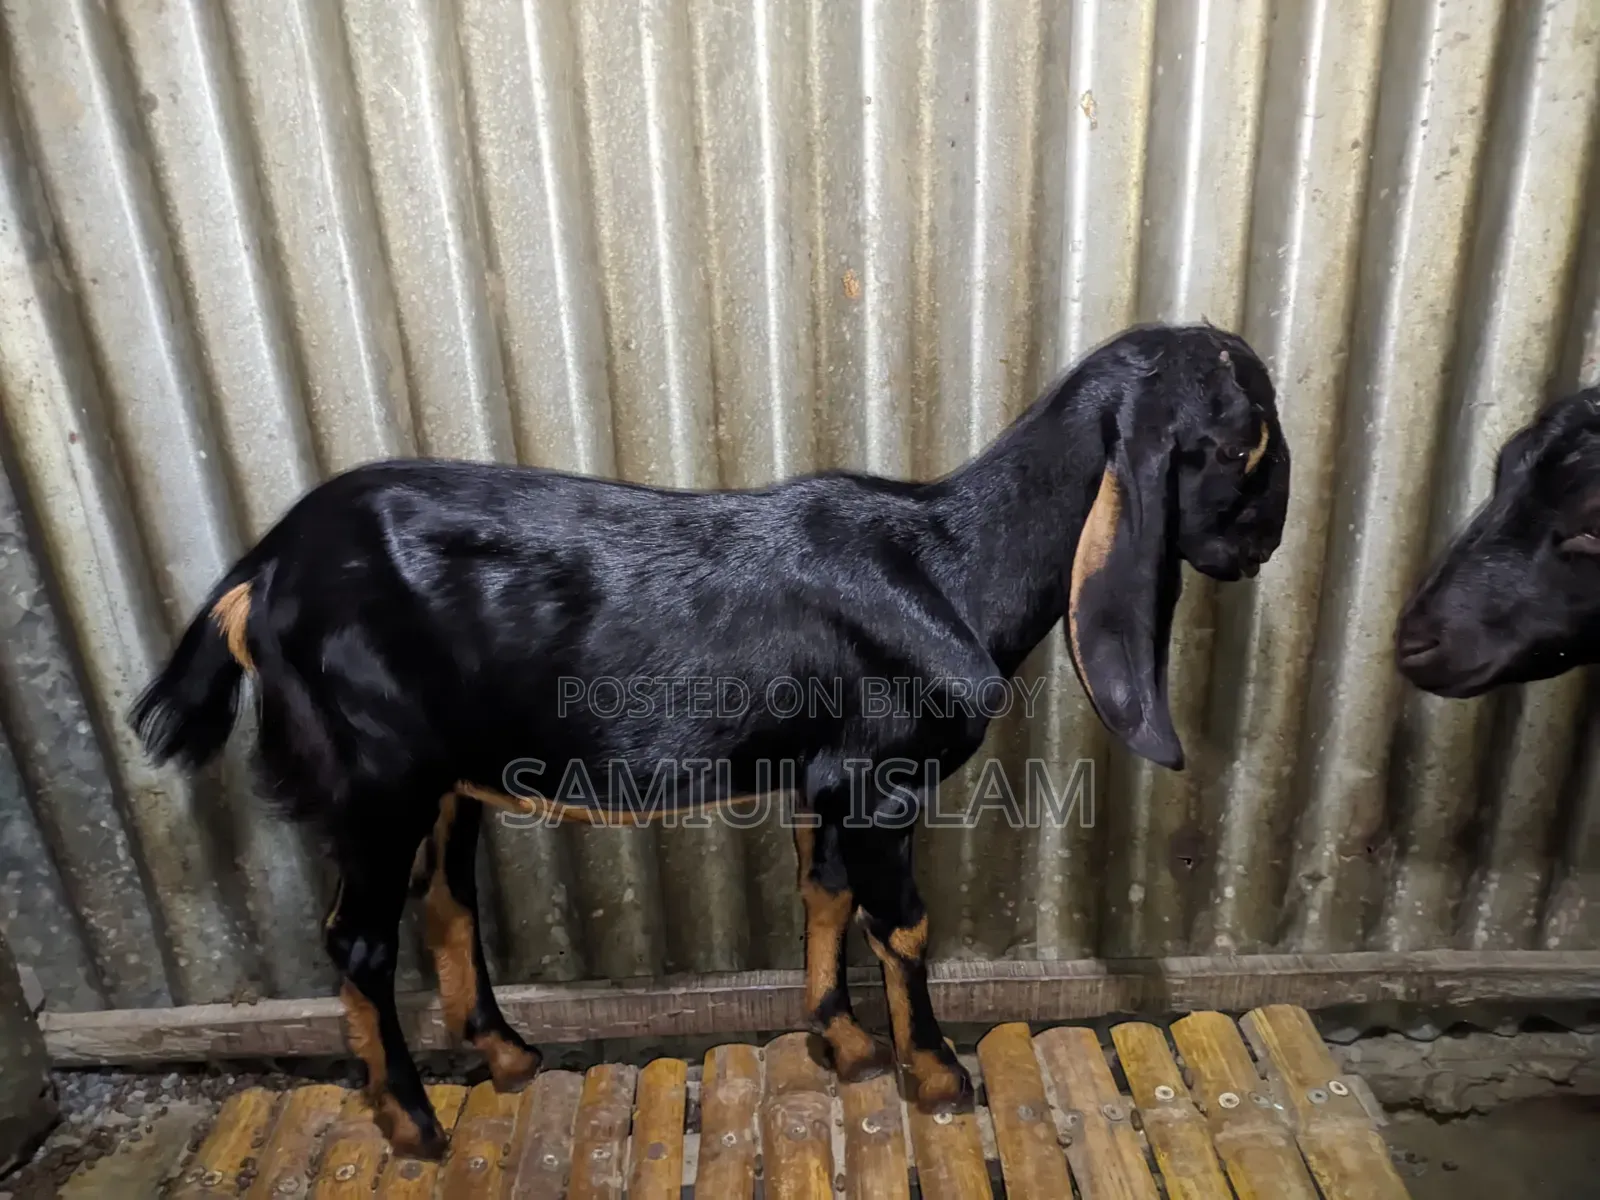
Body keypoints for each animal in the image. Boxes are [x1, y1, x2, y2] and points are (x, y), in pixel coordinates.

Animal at [130, 323, 1290, 1158]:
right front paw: (936, 1077)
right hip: (378, 773)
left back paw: (506, 1058)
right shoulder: (881, 779)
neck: (953, 564)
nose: (1266, 546)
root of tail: (260, 571)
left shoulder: (824, 778)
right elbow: (902, 923)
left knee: (449, 902)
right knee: (360, 942)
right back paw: (413, 1125)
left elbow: (823, 894)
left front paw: (843, 1044)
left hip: (449, 776)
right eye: (1247, 444)